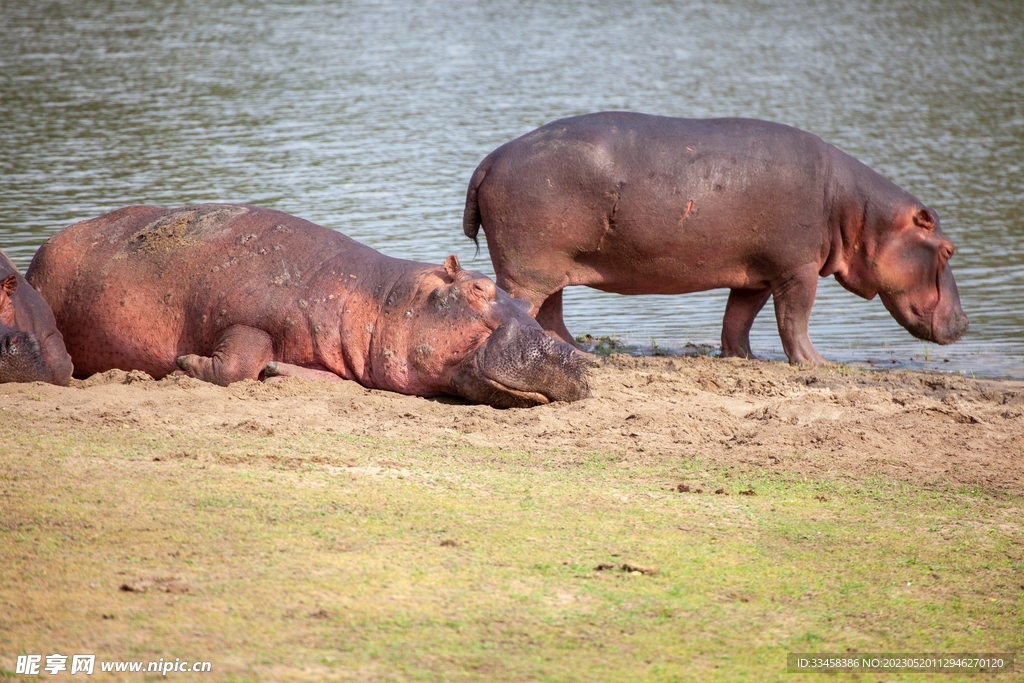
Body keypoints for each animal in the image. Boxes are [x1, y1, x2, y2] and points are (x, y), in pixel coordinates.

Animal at [28, 202, 589, 405]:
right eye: (479, 289)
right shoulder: (244, 318)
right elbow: (236, 362)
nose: (567, 353)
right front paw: (186, 362)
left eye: (523, 305)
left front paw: (280, 371)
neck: (381, 297)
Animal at [464, 112, 966, 366]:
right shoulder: (797, 269)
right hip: (528, 268)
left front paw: (742, 359)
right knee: (524, 305)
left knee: (552, 312)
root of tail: (488, 160)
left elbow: (738, 319)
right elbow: (795, 319)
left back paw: (581, 353)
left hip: (550, 266)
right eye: (947, 249)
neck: (859, 210)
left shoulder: (756, 275)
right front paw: (820, 365)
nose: (964, 323)